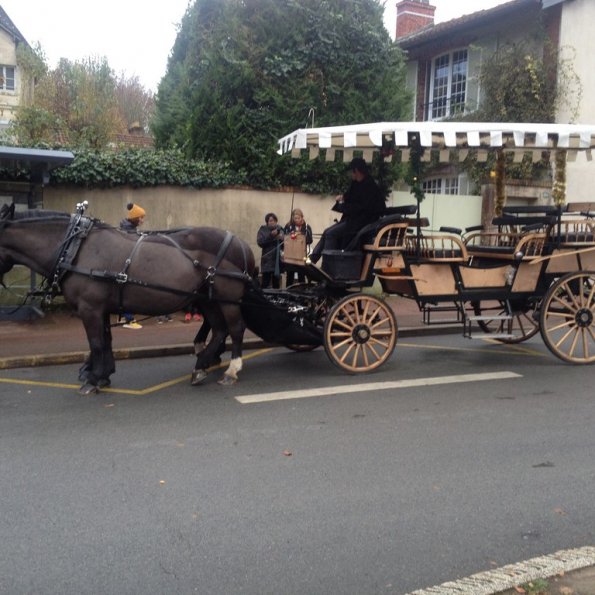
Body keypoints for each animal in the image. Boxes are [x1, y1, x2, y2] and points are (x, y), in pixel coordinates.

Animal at [0, 205, 254, 396]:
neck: (76, 247)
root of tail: (241, 243)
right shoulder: (101, 308)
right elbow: (106, 340)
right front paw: (103, 374)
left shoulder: (90, 308)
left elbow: (96, 342)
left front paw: (93, 379)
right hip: (209, 299)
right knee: (220, 329)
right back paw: (201, 366)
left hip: (227, 298)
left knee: (236, 328)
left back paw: (231, 370)